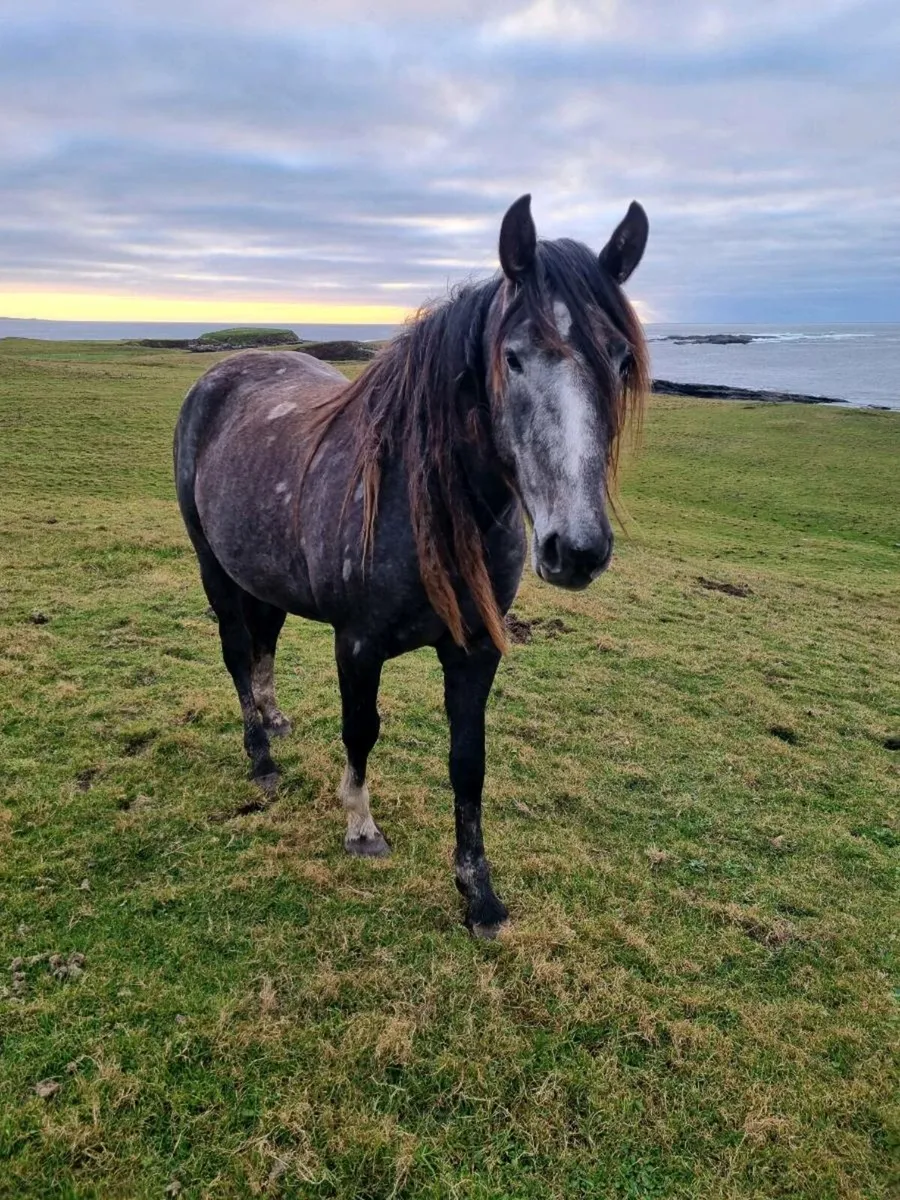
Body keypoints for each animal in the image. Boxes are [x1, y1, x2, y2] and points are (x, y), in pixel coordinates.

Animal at [174, 194, 649, 937]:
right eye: (511, 358)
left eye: (621, 360)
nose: (576, 549)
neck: (422, 499)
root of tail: (220, 374)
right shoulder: (357, 644)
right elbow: (361, 731)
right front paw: (361, 827)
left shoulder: (476, 649)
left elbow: (468, 763)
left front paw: (479, 893)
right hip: (214, 570)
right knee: (234, 652)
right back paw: (261, 755)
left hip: (265, 574)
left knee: (264, 643)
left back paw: (274, 719)